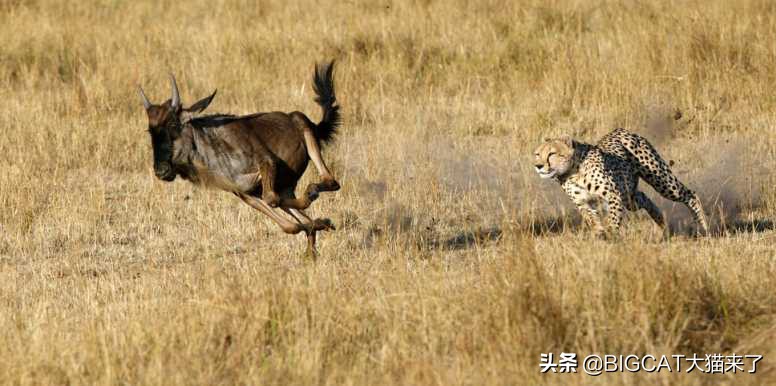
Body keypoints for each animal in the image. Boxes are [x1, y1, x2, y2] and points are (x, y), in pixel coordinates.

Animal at [532, 128, 708, 237]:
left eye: (552, 154)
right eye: (537, 154)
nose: (538, 166)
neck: (571, 172)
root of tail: (620, 130)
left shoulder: (613, 195)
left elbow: (612, 218)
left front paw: (610, 234)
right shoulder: (583, 203)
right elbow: (591, 218)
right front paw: (599, 233)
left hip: (661, 180)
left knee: (690, 194)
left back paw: (703, 227)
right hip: (630, 198)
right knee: (643, 197)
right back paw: (660, 220)